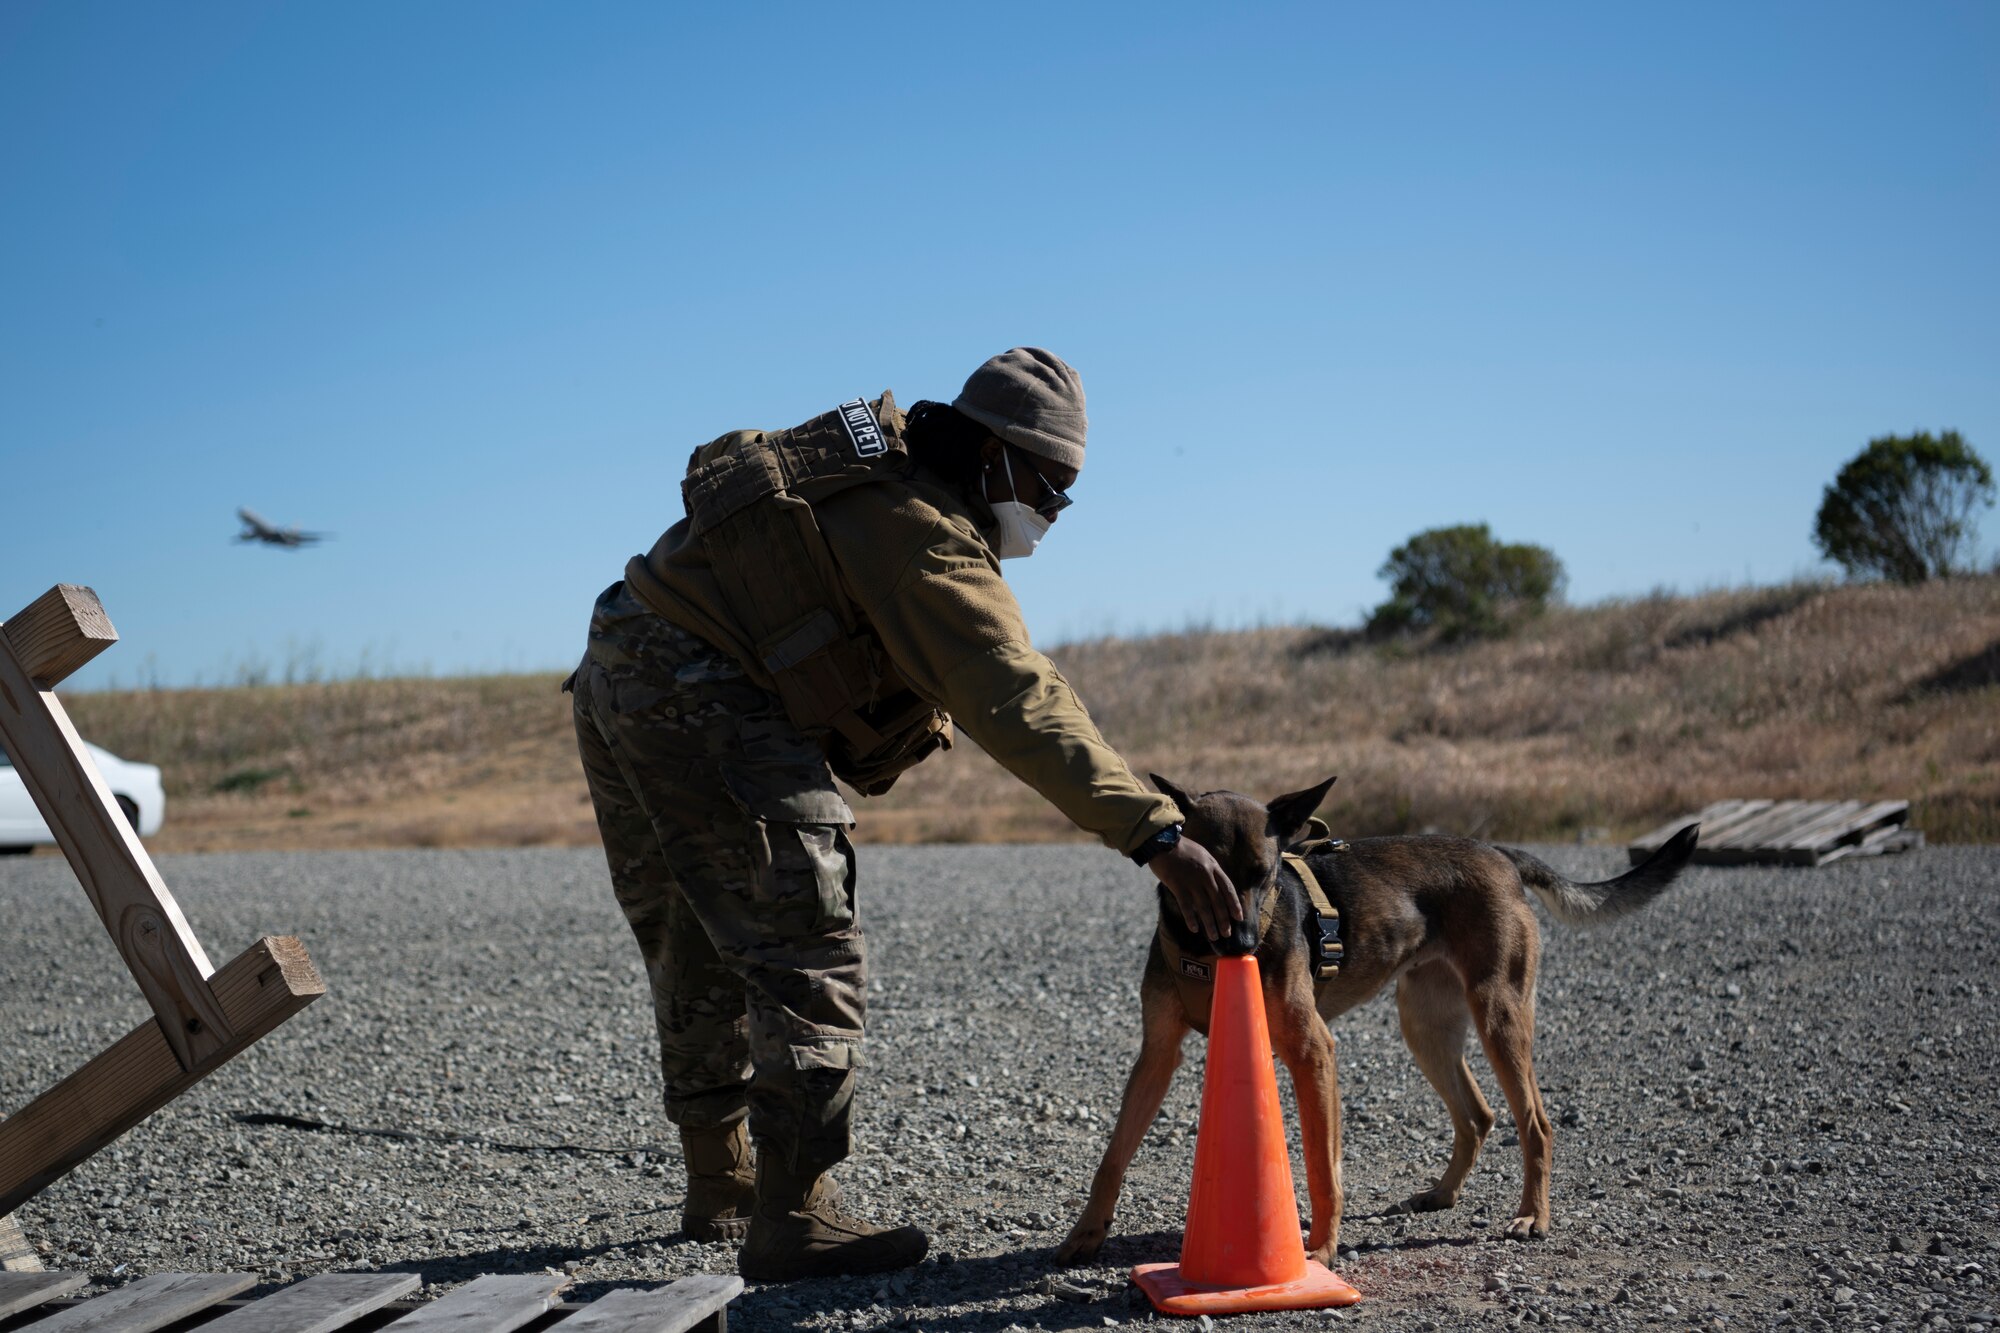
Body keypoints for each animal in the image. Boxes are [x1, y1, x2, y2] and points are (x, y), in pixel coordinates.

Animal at [1056, 780, 1696, 1264]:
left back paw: (1531, 1217)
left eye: (1266, 875)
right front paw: (1086, 1233)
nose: (1244, 943)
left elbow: (1322, 1165)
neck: (1202, 952)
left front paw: (1321, 1249)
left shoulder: (1313, 1049)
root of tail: (1500, 854)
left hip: (1499, 1017)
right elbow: (1113, 1156)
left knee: (1535, 1122)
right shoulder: (1157, 1054)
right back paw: (1442, 1194)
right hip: (1426, 1027)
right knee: (1479, 1115)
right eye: (1212, 876)